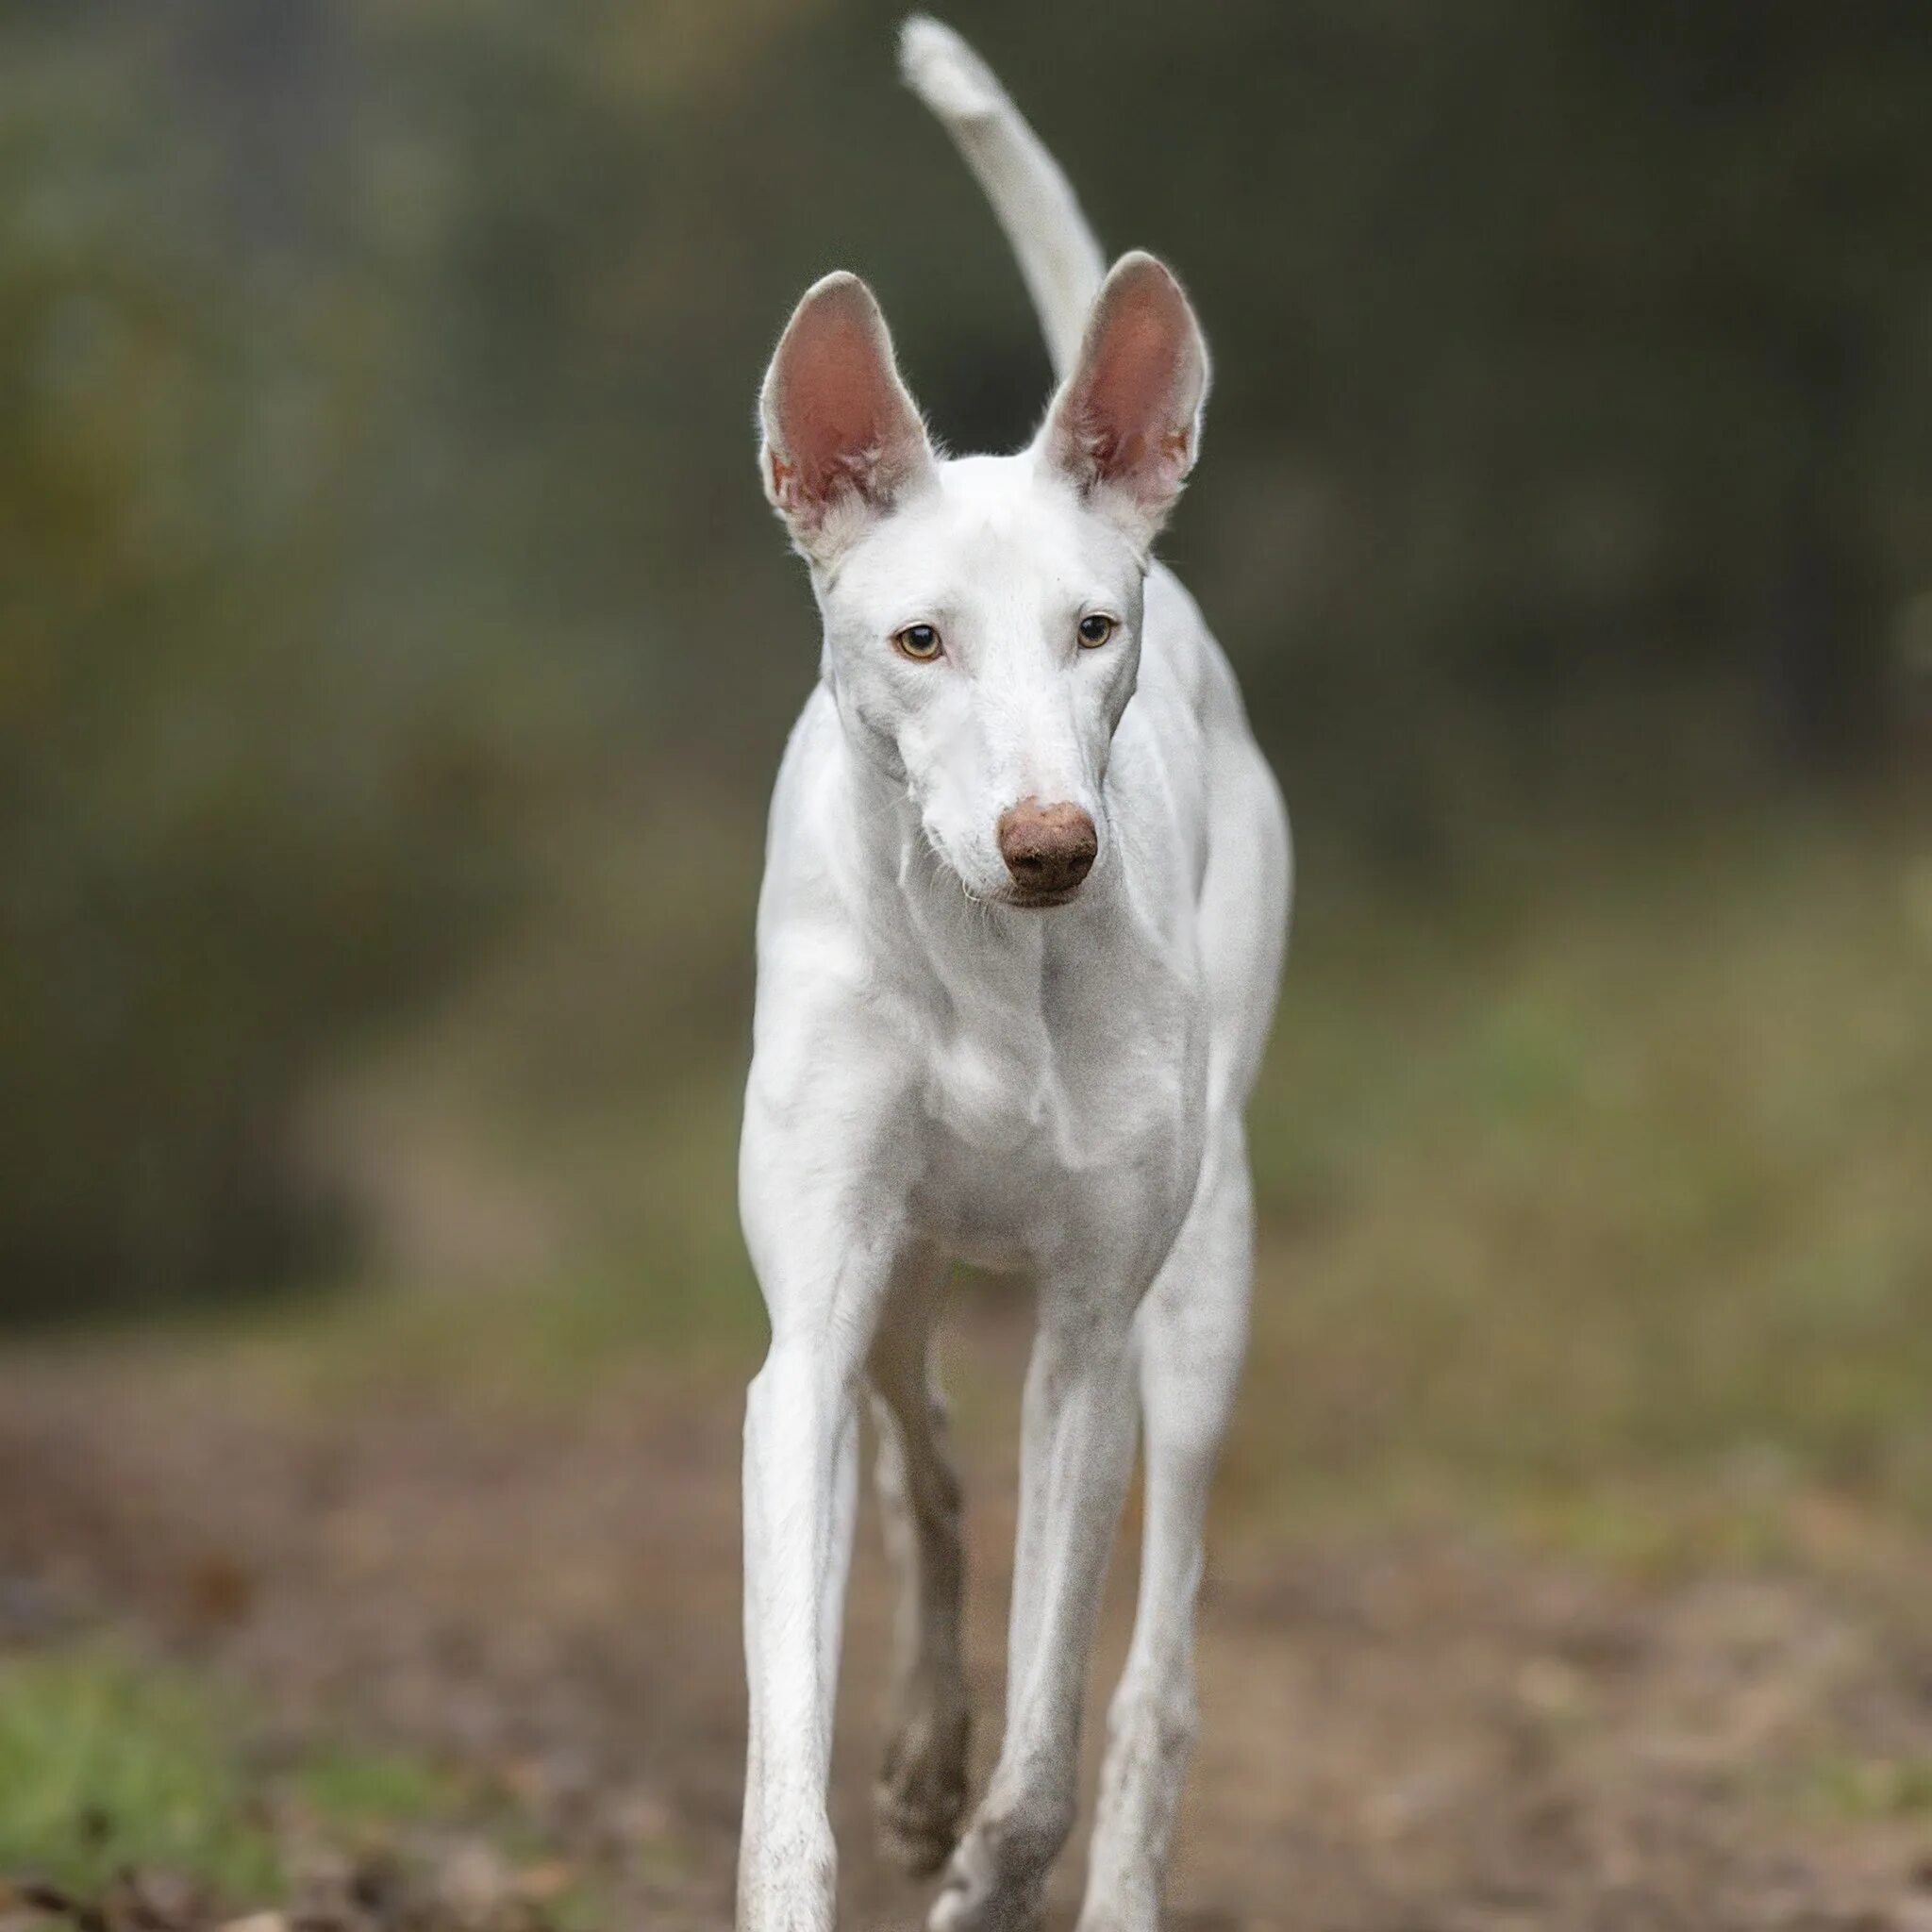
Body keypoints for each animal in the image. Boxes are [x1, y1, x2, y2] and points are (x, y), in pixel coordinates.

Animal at [738, 18, 1298, 1932]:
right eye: (918, 639)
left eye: (1090, 629)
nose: (1053, 843)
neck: (987, 959)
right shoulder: (810, 1318)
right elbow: (785, 1762)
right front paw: (883, 1807)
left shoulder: (1091, 1341)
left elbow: (1053, 1750)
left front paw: (991, 1868)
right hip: (899, 1279)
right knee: (919, 1448)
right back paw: (919, 1748)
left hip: (1199, 1307)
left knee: (1157, 1686)